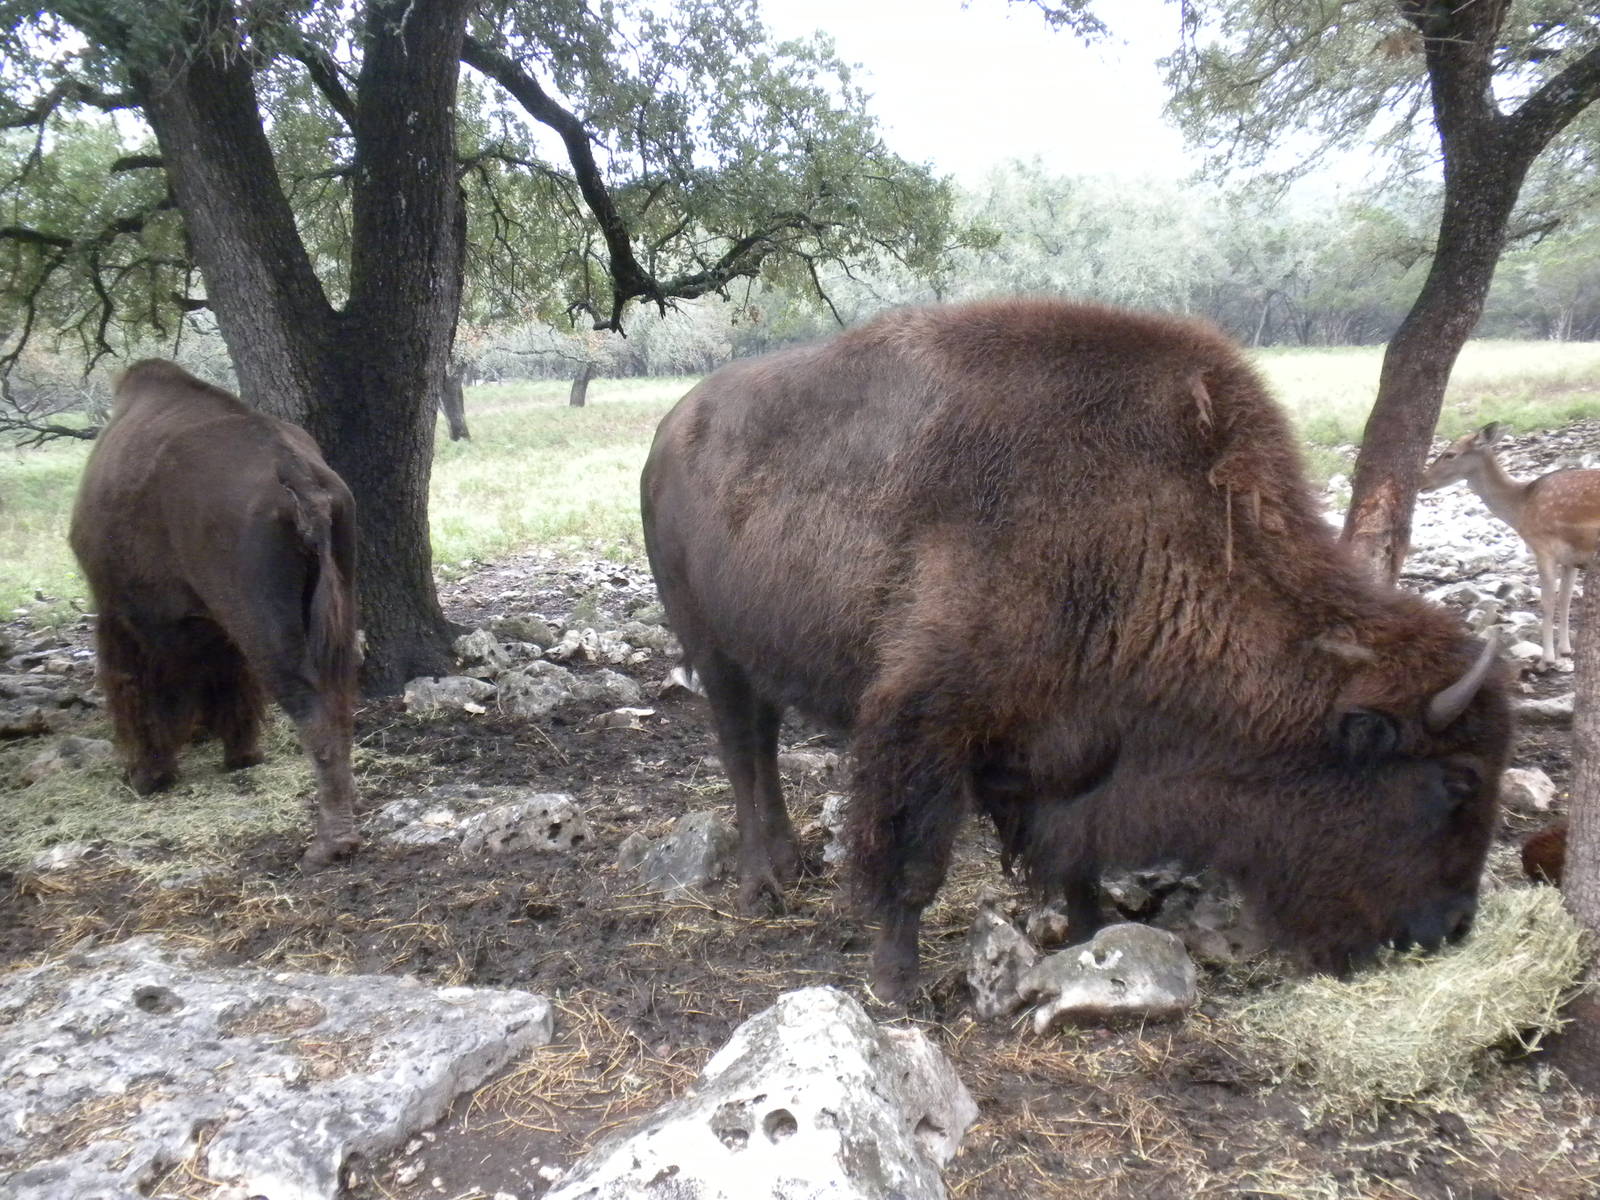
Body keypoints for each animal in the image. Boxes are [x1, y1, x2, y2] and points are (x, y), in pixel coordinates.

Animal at [70, 359, 360, 869]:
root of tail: (298, 475)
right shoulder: (215, 625)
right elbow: (230, 684)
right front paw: (240, 753)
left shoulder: (123, 618)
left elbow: (139, 692)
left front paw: (149, 774)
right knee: (337, 701)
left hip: (268, 630)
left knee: (312, 706)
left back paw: (328, 845)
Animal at [642, 298, 1511, 1003]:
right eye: (1456, 781)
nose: (1455, 927)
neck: (1143, 522)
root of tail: (668, 430)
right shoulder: (924, 721)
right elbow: (913, 862)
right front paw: (896, 985)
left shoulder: (1073, 743)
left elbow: (1077, 855)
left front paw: (1096, 940)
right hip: (711, 649)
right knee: (742, 754)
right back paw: (763, 887)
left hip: (757, 658)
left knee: (760, 747)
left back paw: (790, 867)